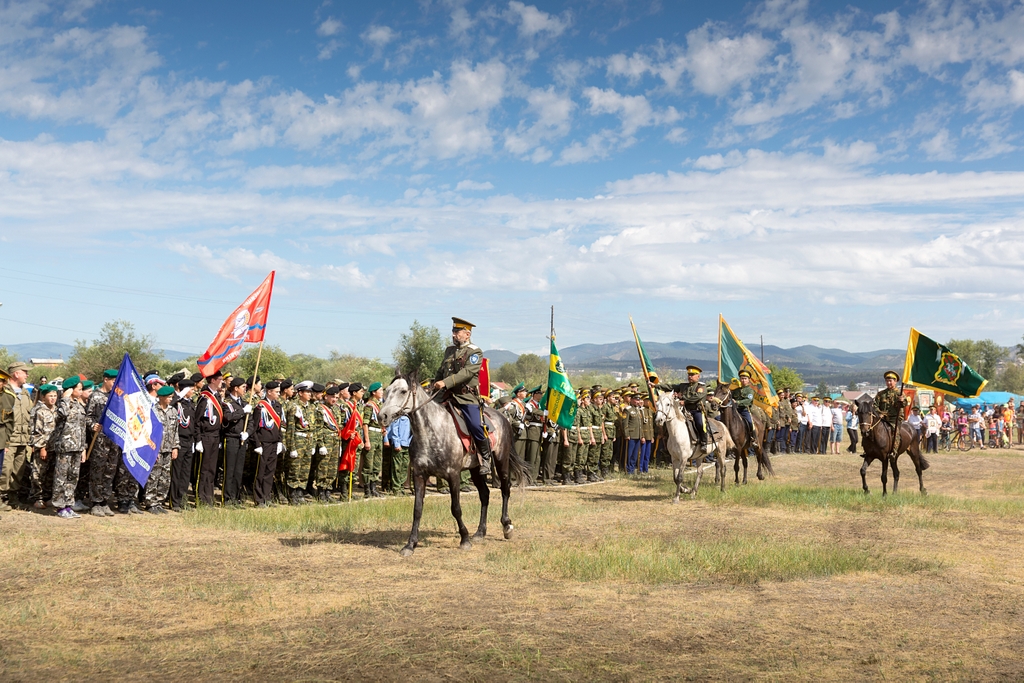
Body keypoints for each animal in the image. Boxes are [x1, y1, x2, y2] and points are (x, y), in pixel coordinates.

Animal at [378, 376, 528, 557]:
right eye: (387, 391)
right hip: (475, 469)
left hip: (501, 460)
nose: (382, 416)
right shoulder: (419, 475)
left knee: (505, 488)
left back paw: (507, 526)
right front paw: (410, 544)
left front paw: (464, 539)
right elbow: (417, 510)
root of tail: (502, 417)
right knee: (485, 495)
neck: (430, 432)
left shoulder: (453, 475)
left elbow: (455, 508)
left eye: (403, 391)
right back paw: (480, 532)